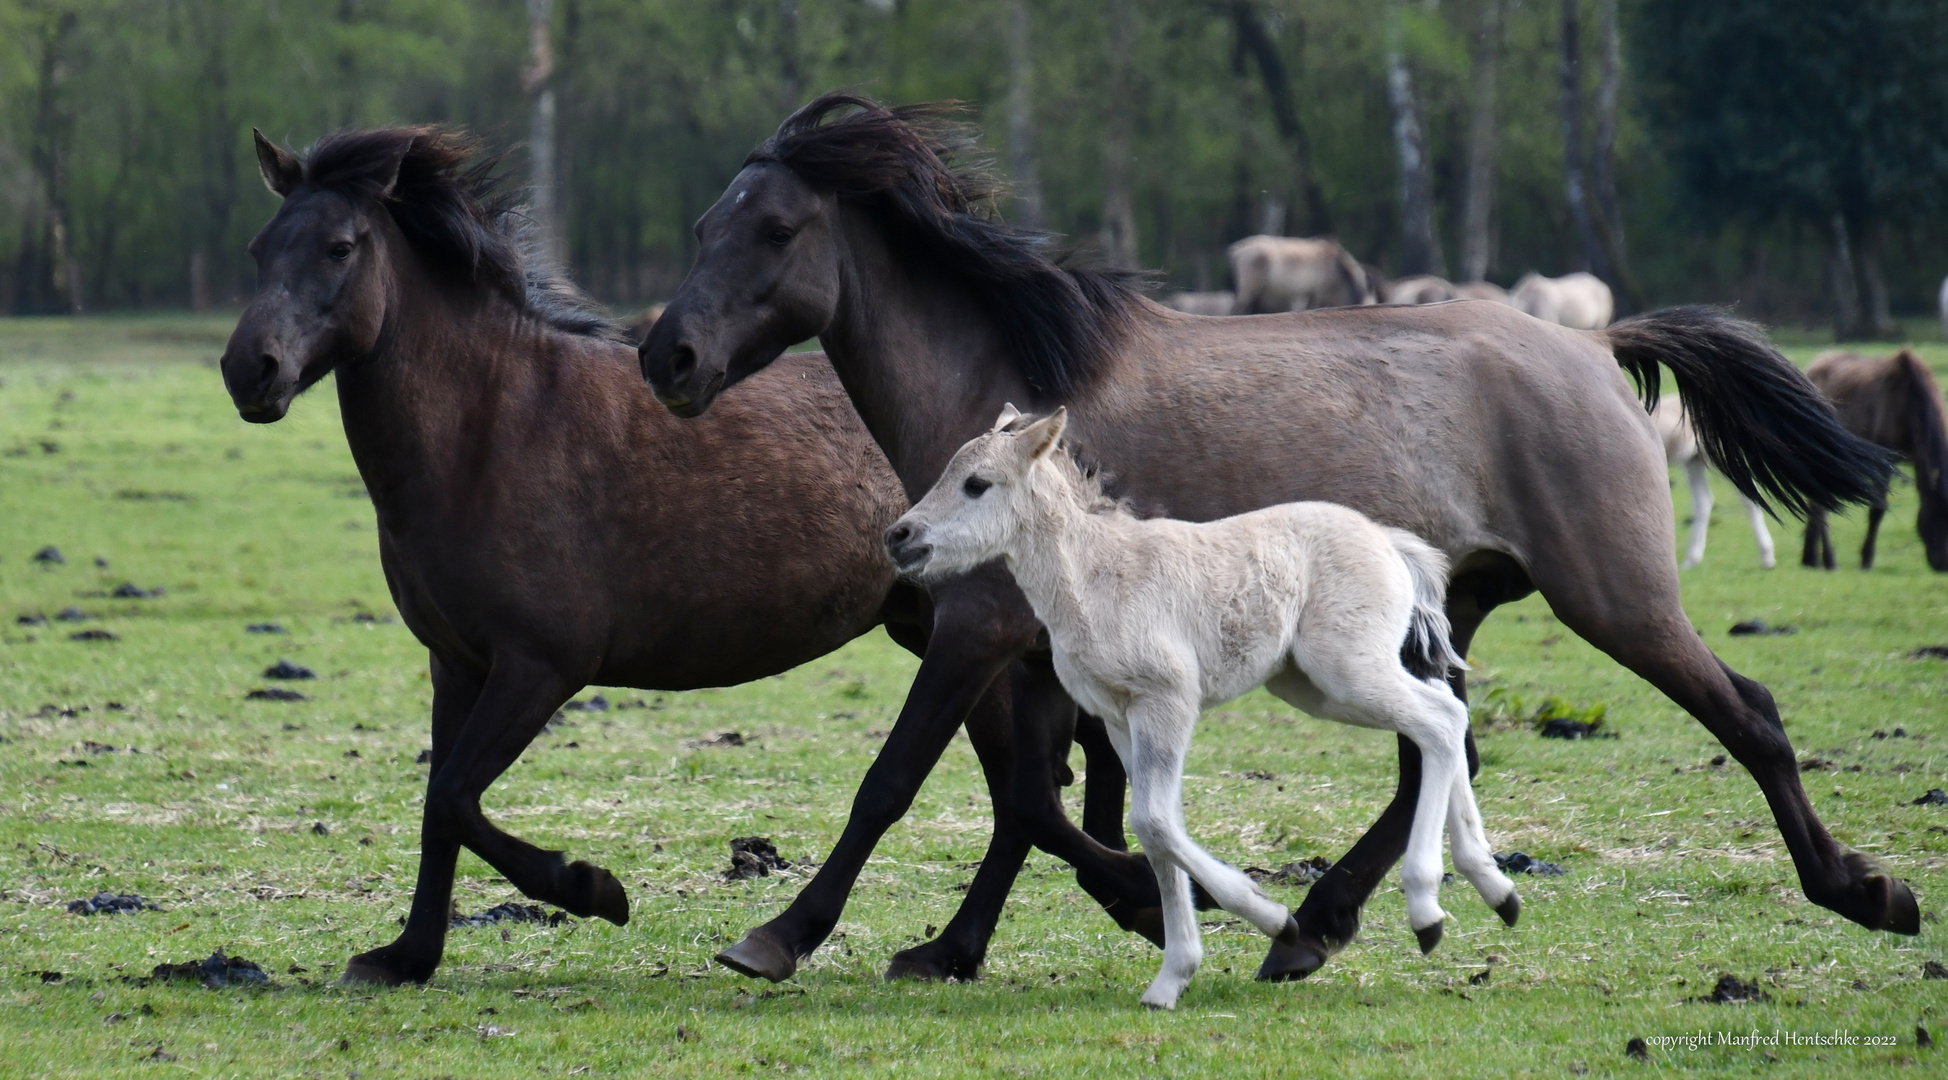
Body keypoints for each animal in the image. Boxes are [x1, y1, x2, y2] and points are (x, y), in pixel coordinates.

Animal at [217, 128, 1137, 982]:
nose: (246, 370)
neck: (487, 427)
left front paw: (590, 888)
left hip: (971, 643)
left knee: (1028, 802)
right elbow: (440, 807)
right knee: (1030, 801)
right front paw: (407, 954)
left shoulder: (541, 665)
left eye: (340, 247)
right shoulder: (458, 663)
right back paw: (973, 942)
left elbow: (453, 799)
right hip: (950, 641)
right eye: (259, 248)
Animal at [888, 405, 1519, 1005]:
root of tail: (1389, 540)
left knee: (1438, 722)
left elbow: (1153, 820)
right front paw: (1173, 978)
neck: (1096, 577)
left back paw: (1428, 908)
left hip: (1347, 672)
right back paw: (1495, 886)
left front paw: (1275, 920)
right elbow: (1156, 829)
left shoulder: (1167, 701)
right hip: (1315, 686)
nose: (899, 535)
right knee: (1445, 715)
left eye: (976, 484)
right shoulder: (1119, 719)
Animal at [1792, 348, 1948, 573]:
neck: (1909, 404)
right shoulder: (1885, 461)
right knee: (1820, 506)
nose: (1943, 563)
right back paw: (1828, 560)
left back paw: (1810, 558)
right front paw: (1866, 559)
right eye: (1936, 515)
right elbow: (1877, 510)